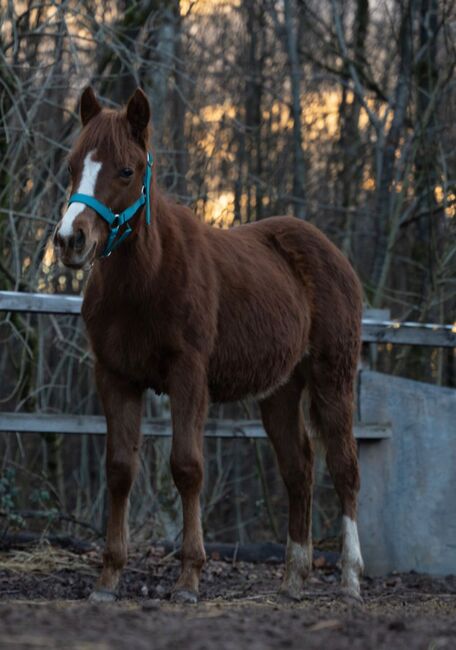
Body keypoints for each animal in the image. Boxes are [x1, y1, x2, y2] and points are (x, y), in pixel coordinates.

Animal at [52, 86, 364, 604]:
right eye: (73, 165)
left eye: (126, 170)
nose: (70, 240)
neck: (147, 279)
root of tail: (332, 252)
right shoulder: (115, 376)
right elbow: (119, 468)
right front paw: (108, 579)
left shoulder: (188, 377)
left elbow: (187, 468)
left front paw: (189, 578)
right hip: (280, 391)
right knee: (298, 468)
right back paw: (293, 578)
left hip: (332, 379)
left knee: (344, 467)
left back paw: (351, 581)